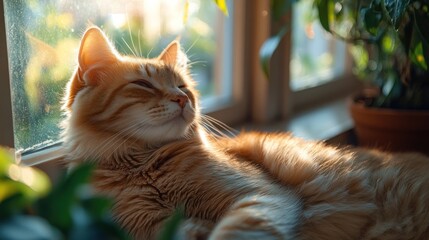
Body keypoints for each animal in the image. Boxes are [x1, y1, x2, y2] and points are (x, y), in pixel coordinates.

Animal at [61, 26, 429, 240]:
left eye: (182, 86)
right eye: (143, 84)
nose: (182, 99)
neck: (143, 167)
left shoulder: (260, 196)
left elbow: (235, 230)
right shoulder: (148, 226)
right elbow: (184, 230)